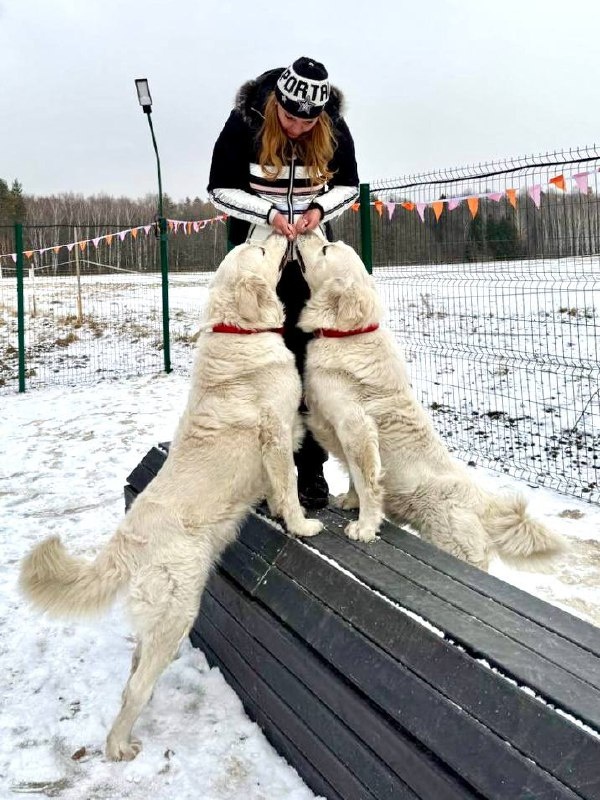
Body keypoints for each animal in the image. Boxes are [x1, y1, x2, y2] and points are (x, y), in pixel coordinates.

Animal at [19, 234, 322, 761]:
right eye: (263, 254)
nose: (263, 231)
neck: (238, 333)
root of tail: (125, 539)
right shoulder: (276, 435)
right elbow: (287, 485)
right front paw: (302, 523)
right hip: (177, 610)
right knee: (136, 686)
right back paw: (119, 746)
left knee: (133, 674)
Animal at [296, 232, 565, 571]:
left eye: (325, 248)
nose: (301, 228)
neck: (345, 335)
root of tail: (483, 502)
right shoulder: (350, 438)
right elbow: (358, 477)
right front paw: (351, 503)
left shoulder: (356, 428)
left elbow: (368, 481)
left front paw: (365, 527)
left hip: (452, 540)